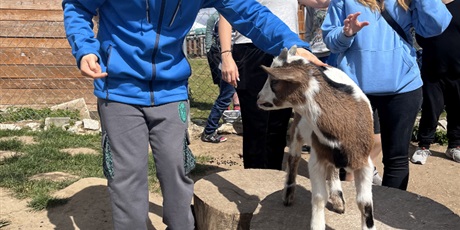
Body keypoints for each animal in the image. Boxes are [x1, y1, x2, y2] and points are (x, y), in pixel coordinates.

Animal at [256, 47, 376, 230]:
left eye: (274, 81)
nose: (258, 97)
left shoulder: (364, 162)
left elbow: (365, 203)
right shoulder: (316, 160)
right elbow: (319, 197)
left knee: (332, 168)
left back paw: (338, 199)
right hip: (297, 129)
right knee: (294, 158)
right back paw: (288, 195)